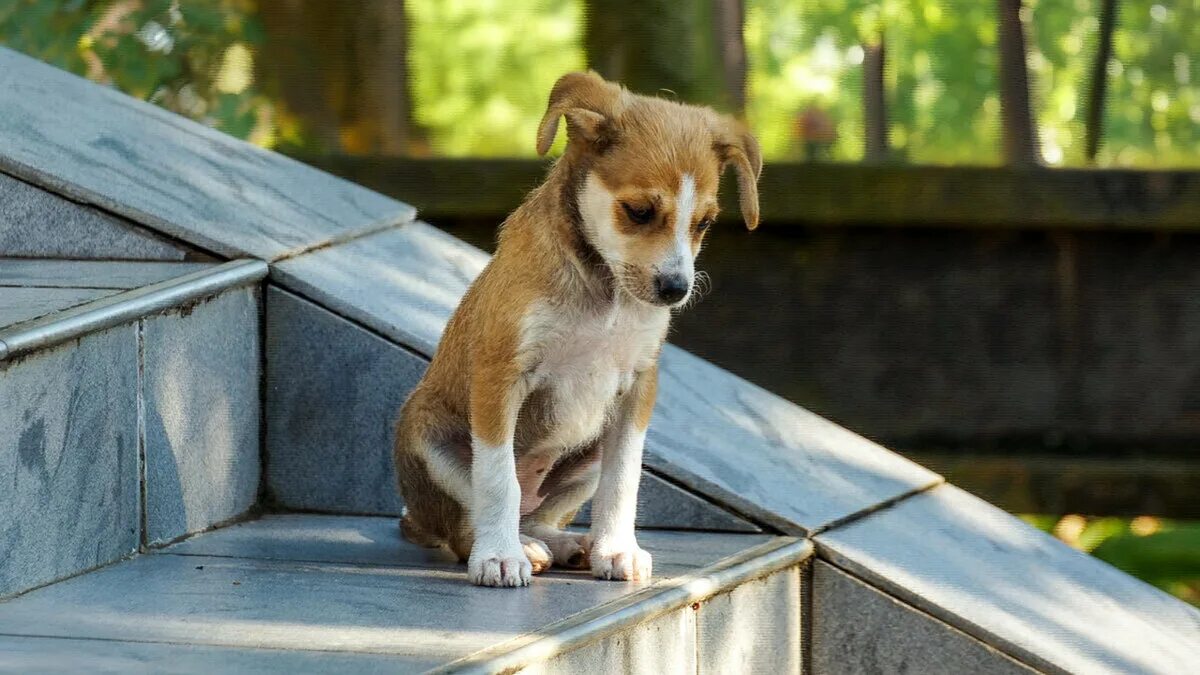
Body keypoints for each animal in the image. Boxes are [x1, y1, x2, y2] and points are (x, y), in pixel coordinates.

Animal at [398, 72, 763, 583]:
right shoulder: (500, 374)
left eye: (704, 223)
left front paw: (616, 549)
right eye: (638, 211)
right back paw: (516, 547)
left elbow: (623, 479)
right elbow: (497, 480)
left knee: (537, 512)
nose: (676, 289)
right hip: (425, 429)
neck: (605, 292)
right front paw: (499, 557)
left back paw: (565, 544)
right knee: (471, 524)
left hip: (587, 454)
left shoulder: (637, 388)